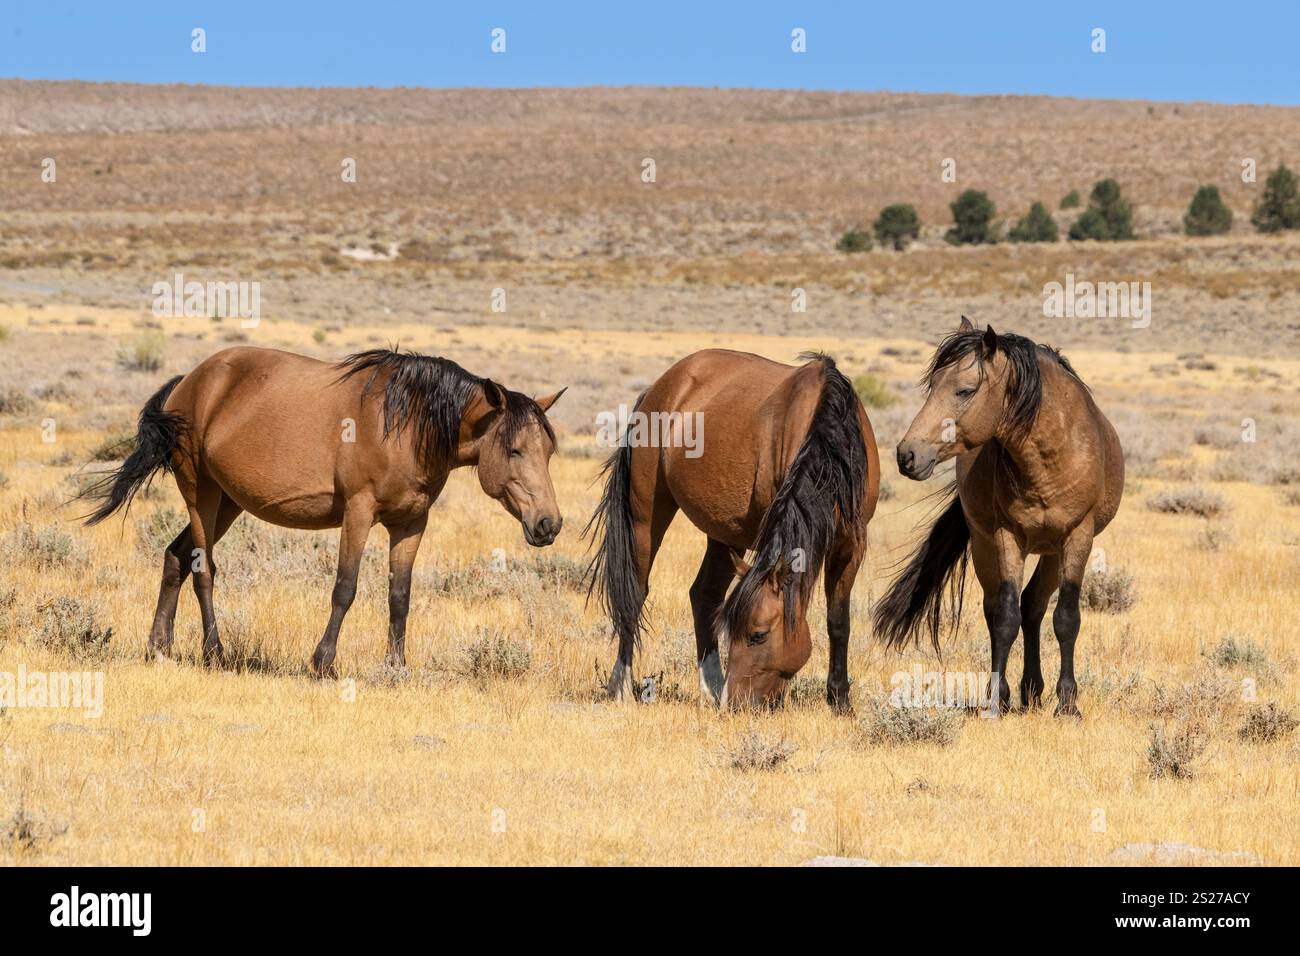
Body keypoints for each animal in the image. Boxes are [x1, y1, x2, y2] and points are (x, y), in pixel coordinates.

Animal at [84, 346, 566, 676]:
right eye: (514, 449)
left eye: (548, 451)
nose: (549, 524)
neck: (407, 426)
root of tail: (191, 380)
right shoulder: (358, 512)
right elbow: (345, 589)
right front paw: (323, 662)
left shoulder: (411, 523)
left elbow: (400, 595)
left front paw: (396, 667)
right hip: (199, 490)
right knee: (204, 569)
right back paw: (214, 652)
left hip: (227, 502)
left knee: (175, 556)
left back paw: (158, 646)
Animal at [585, 349, 879, 710]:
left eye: (758, 634)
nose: (734, 703)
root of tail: (661, 385)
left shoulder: (850, 545)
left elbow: (838, 622)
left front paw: (839, 700)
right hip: (646, 519)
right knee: (635, 594)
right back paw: (623, 686)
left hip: (725, 534)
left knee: (704, 594)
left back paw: (710, 686)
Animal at [873, 318, 1124, 716]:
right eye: (933, 385)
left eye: (964, 390)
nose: (907, 454)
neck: (1049, 460)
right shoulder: (1007, 536)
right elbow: (1005, 618)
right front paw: (995, 700)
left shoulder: (1078, 536)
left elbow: (1066, 618)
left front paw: (1068, 703)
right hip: (984, 546)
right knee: (1001, 609)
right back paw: (1019, 691)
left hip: (1052, 550)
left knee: (1034, 605)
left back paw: (1034, 690)